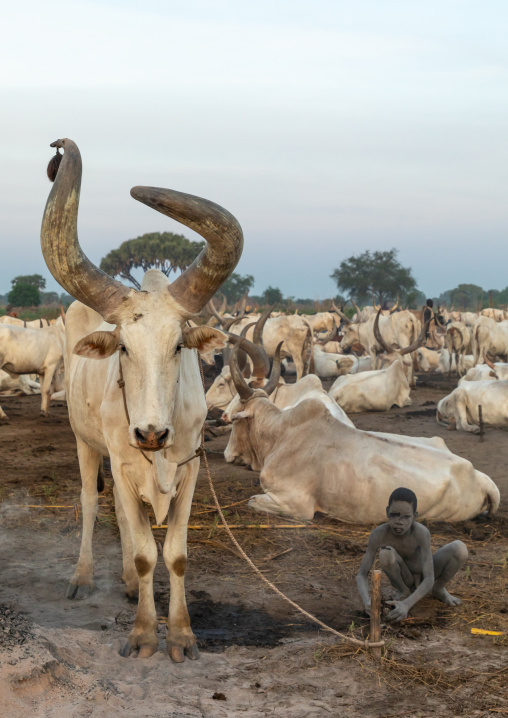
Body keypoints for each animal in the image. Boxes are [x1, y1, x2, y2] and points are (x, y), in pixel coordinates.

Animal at [40, 138, 242, 662]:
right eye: (124, 348)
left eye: (178, 346)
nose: (151, 433)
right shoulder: (124, 461)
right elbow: (145, 551)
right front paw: (145, 634)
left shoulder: (190, 470)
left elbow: (174, 556)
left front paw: (182, 635)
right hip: (87, 444)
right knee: (92, 503)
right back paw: (84, 576)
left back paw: (130, 584)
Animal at [224, 345, 499, 522]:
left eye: (237, 415)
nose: (227, 453)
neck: (280, 434)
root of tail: (481, 477)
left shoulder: (296, 505)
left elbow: (252, 500)